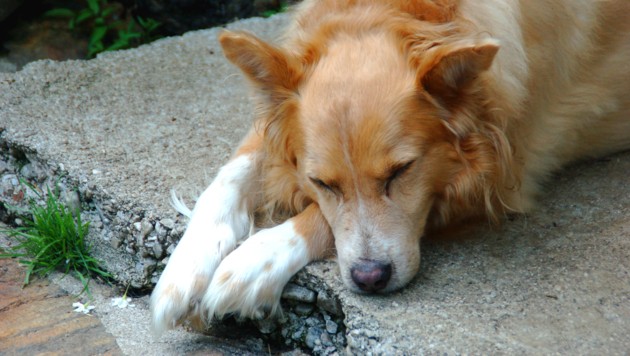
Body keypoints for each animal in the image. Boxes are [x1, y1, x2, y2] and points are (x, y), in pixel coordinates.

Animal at [152, 0, 630, 334]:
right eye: (321, 181)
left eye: (401, 172)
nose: (370, 280)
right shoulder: (273, 129)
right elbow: (229, 177)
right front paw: (183, 273)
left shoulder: (498, 176)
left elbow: (317, 219)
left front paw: (253, 263)